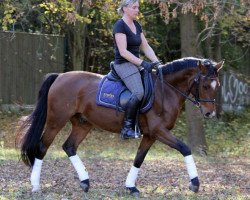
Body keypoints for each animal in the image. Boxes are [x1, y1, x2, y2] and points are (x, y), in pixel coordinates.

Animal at [17, 57, 225, 196]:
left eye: (218, 85)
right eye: (205, 85)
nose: (210, 113)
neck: (165, 90)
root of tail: (60, 76)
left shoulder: (150, 135)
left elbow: (139, 159)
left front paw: (131, 187)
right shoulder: (159, 131)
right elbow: (184, 148)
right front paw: (195, 184)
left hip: (83, 124)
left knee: (69, 146)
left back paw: (85, 182)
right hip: (56, 121)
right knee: (42, 148)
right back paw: (36, 186)